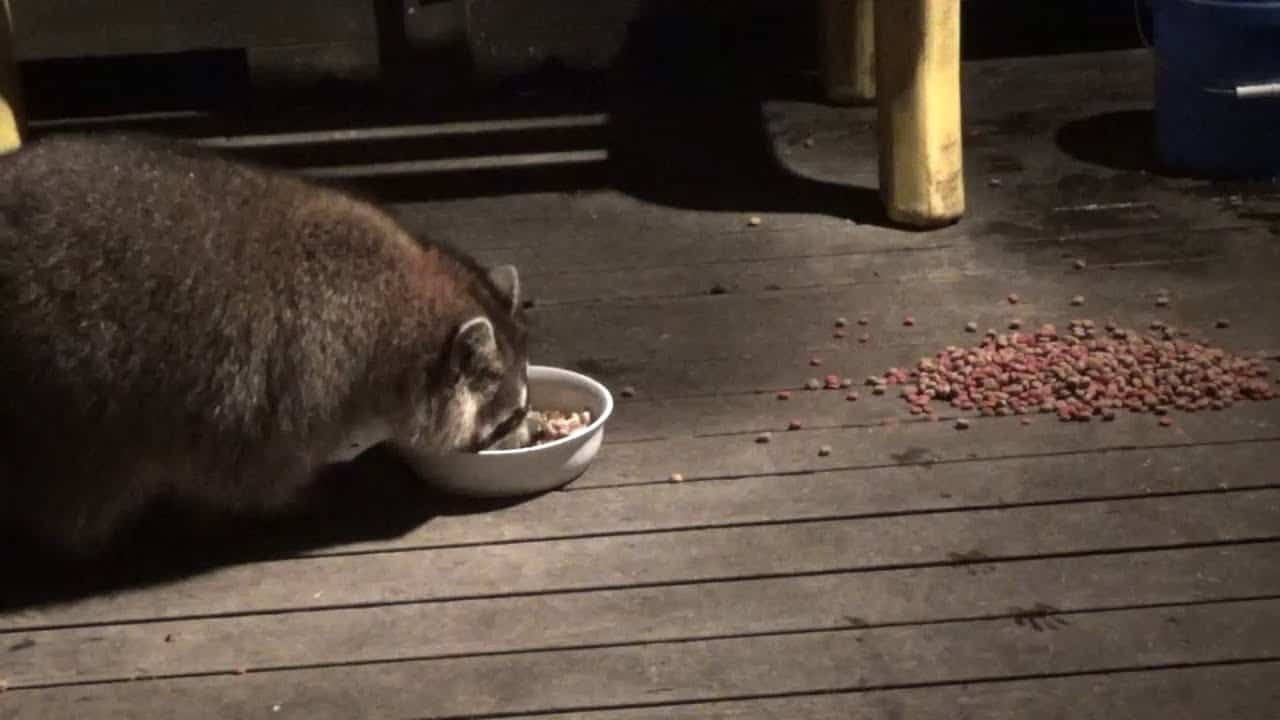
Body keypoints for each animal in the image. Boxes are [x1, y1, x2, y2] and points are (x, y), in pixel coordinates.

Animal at [0, 132, 530, 554]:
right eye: (511, 417)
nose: (529, 436)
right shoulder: (288, 381)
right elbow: (246, 474)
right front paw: (286, 500)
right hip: (66, 392)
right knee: (81, 482)